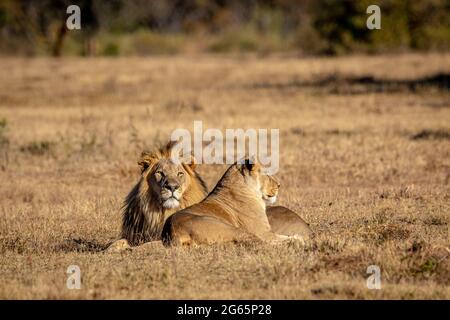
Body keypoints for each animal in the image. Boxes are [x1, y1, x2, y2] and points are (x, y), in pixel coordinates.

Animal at [162, 159, 302, 246]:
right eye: (266, 174)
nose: (279, 185)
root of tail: (173, 232)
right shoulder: (264, 232)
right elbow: (278, 237)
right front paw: (297, 238)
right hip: (232, 229)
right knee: (259, 243)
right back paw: (296, 242)